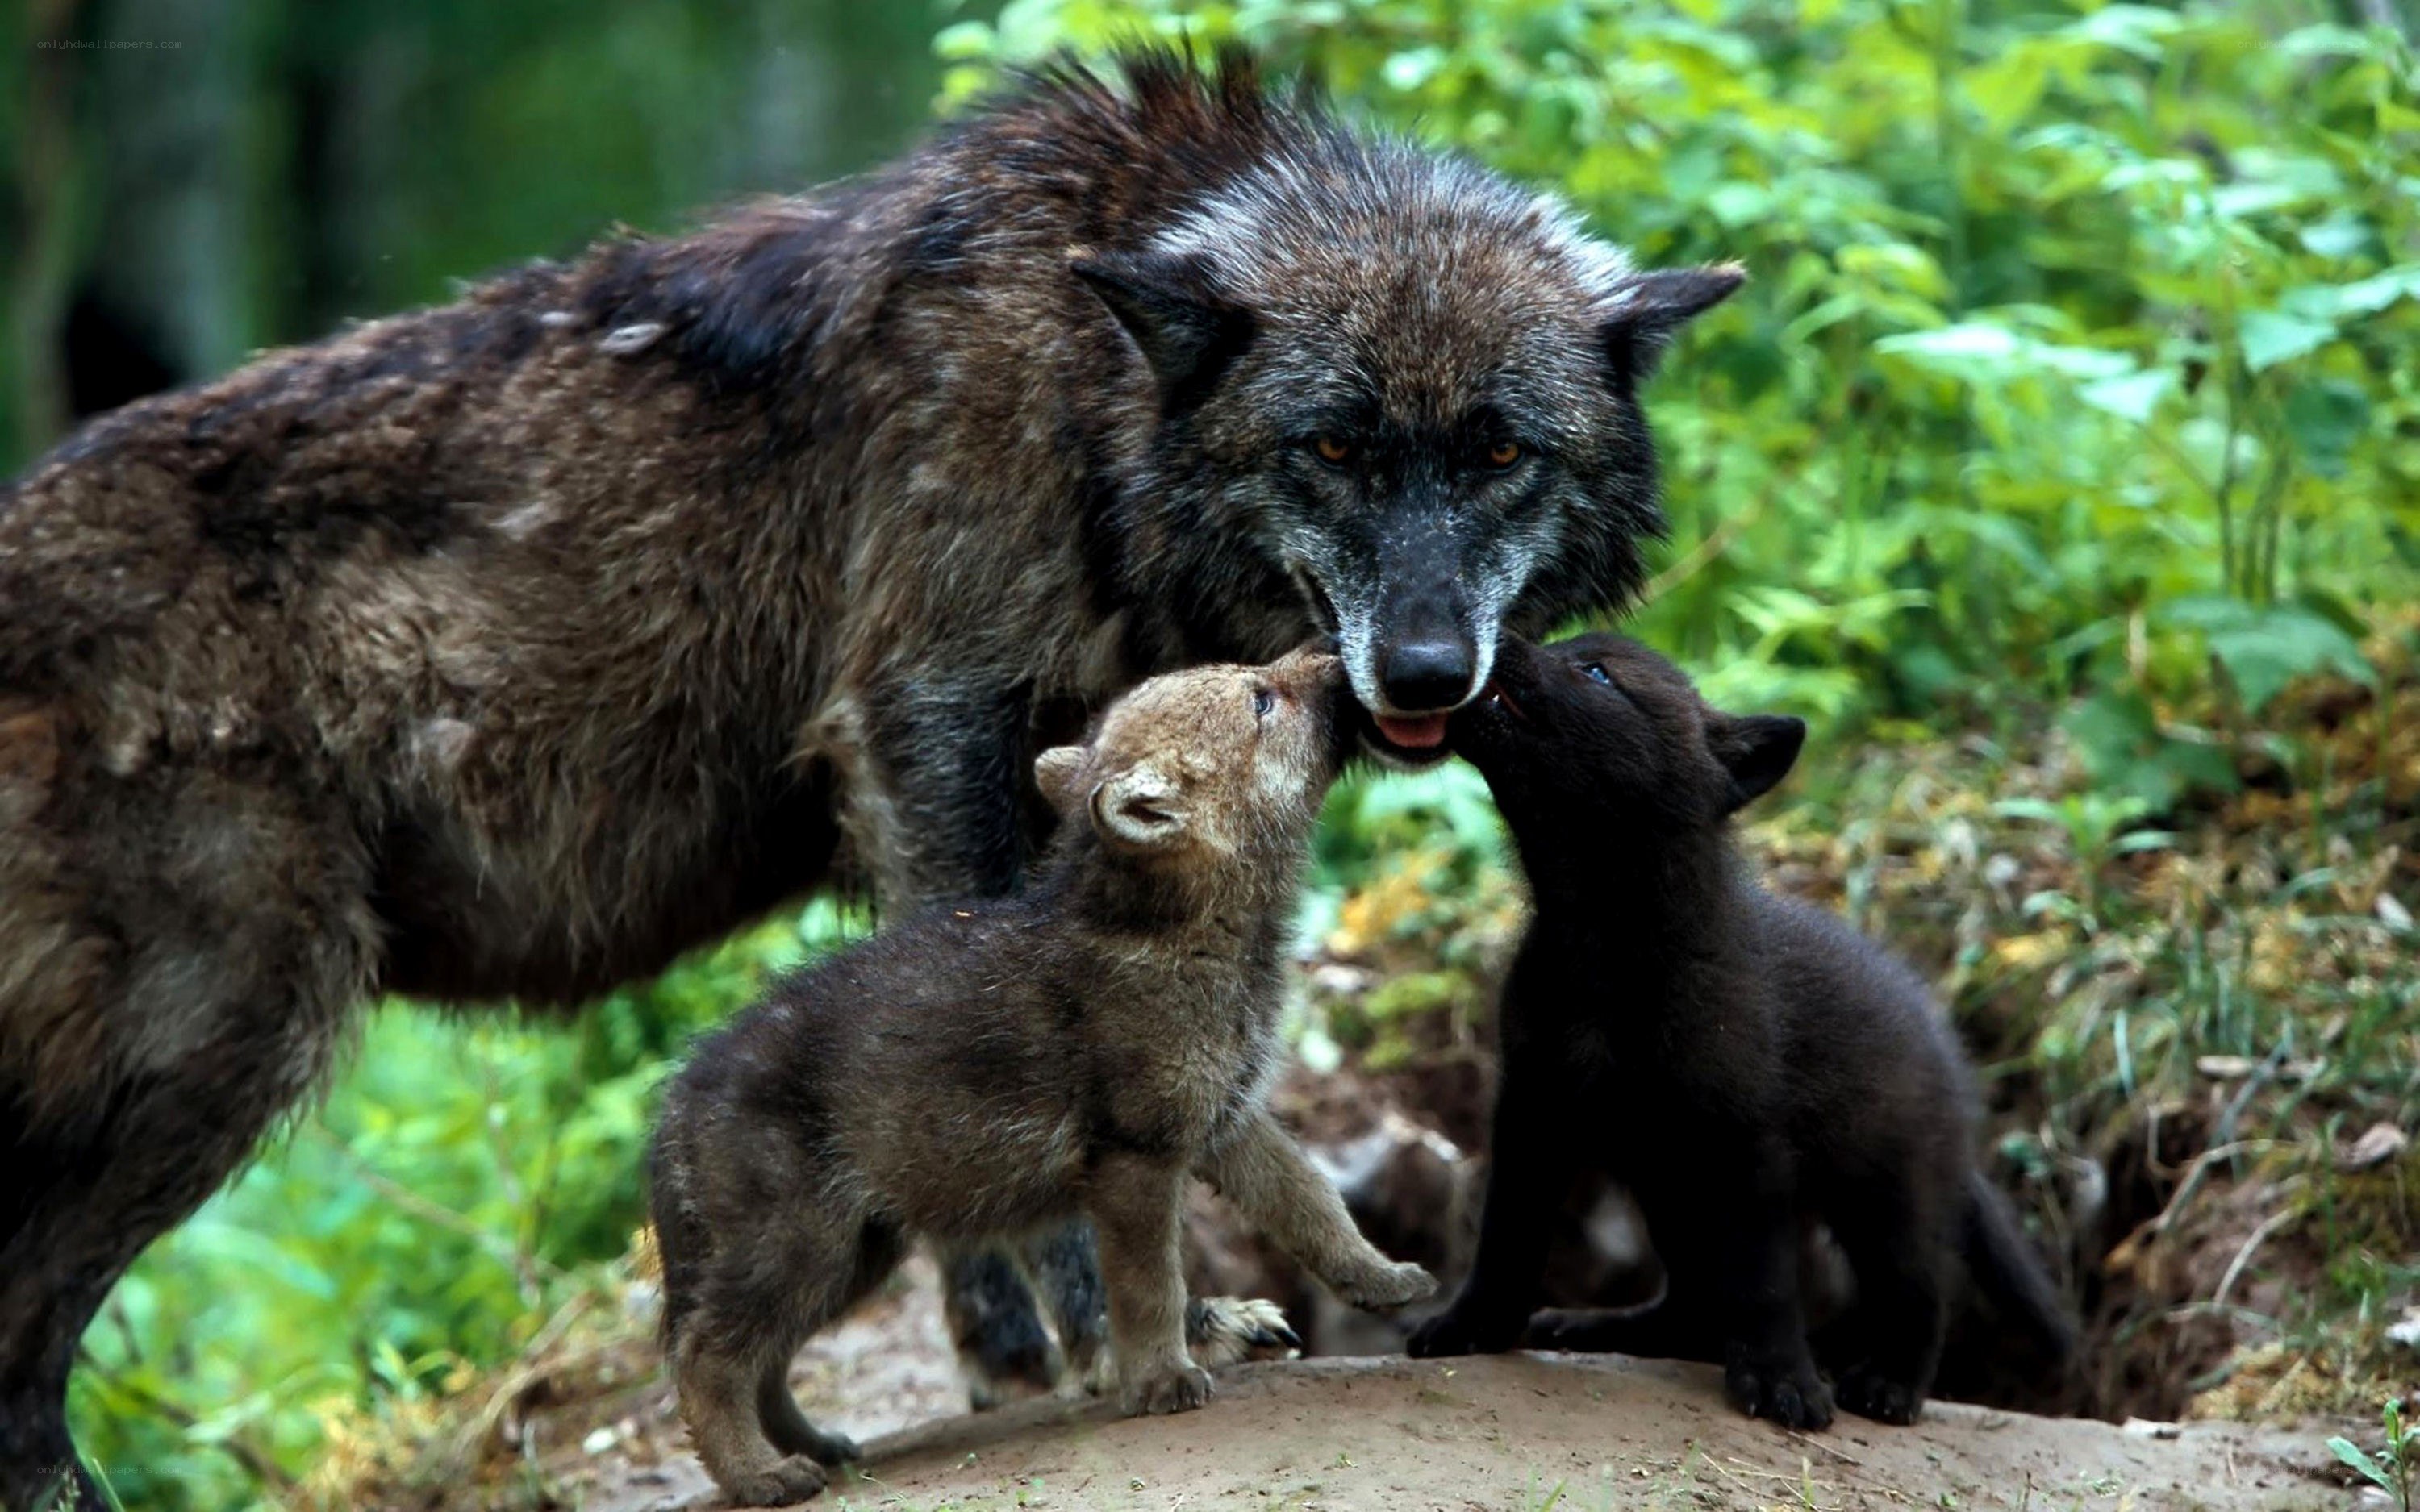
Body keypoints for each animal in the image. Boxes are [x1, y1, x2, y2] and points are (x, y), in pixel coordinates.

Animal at [651, 648, 1432, 1503]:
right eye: (1261, 700)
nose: (1332, 657)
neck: (1183, 934)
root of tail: (673, 1106)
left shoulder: (1226, 1121)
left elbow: (1313, 1202)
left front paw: (1383, 1277)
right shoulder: (1133, 1157)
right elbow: (1149, 1281)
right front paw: (1163, 1381)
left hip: (855, 1251)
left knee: (762, 1361)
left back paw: (818, 1448)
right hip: (799, 1244)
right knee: (707, 1359)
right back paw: (762, 1476)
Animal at [1404, 634, 2074, 1428]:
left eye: (1596, 671)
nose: (1496, 637)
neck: (1604, 945)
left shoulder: (1744, 1142)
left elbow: (1766, 1280)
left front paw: (1784, 1380)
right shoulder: (1535, 1106)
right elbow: (1505, 1236)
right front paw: (1471, 1326)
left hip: (1890, 1190)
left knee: (1919, 1290)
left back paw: (1889, 1385)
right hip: (1670, 1184)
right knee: (1694, 1302)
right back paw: (1600, 1327)